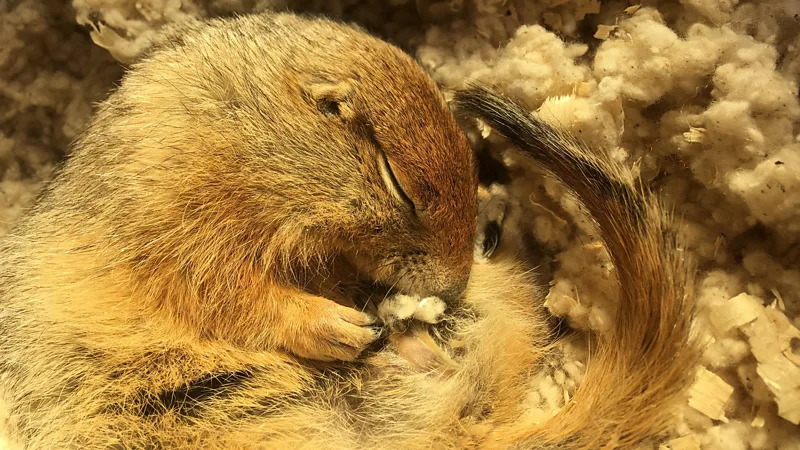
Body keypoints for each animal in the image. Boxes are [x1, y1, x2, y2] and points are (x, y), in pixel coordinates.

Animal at [0, 11, 699, 450]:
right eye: (396, 179)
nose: (452, 288)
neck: (245, 143)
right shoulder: (166, 218)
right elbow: (220, 291)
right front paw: (338, 326)